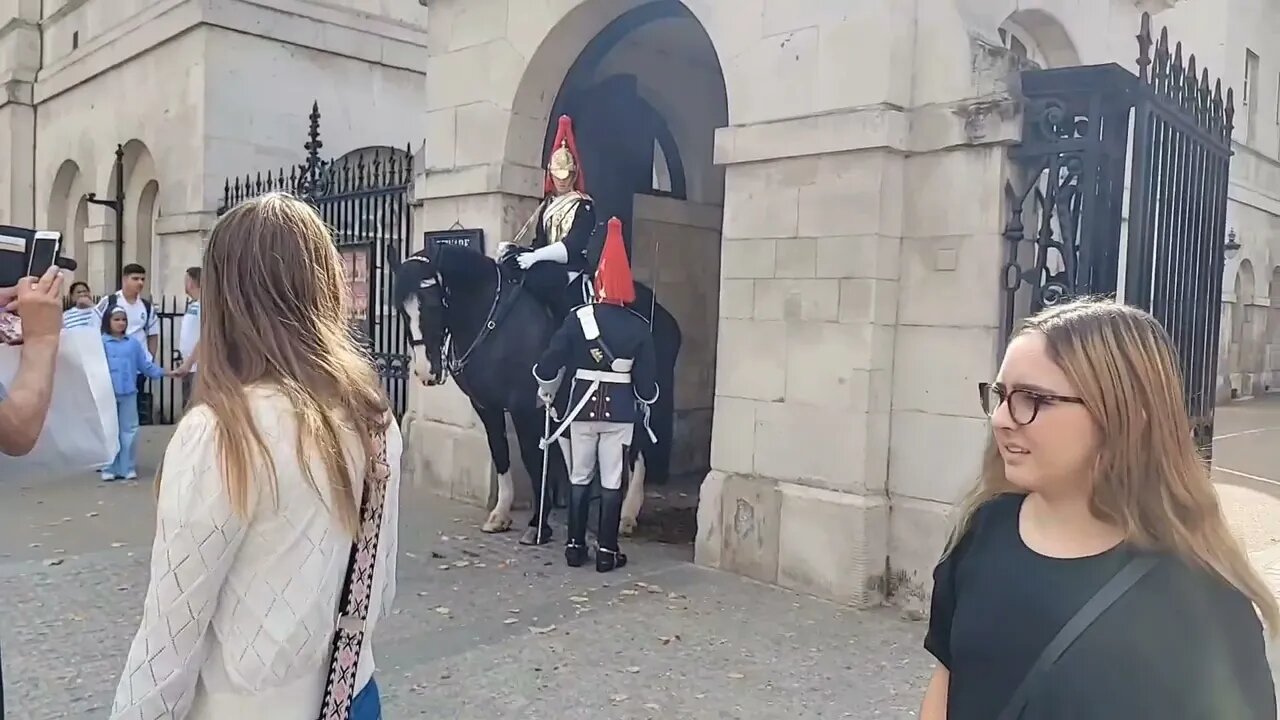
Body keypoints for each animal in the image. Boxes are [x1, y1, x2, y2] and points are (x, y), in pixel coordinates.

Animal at [391, 238, 686, 540]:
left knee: (637, 448)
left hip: (638, 395)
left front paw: (539, 524)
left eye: (433, 305)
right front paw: (501, 514)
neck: (493, 321)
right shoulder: (487, 407)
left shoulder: (525, 407)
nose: (426, 371)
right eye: (400, 309)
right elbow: (500, 453)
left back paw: (626, 514)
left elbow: (533, 457)